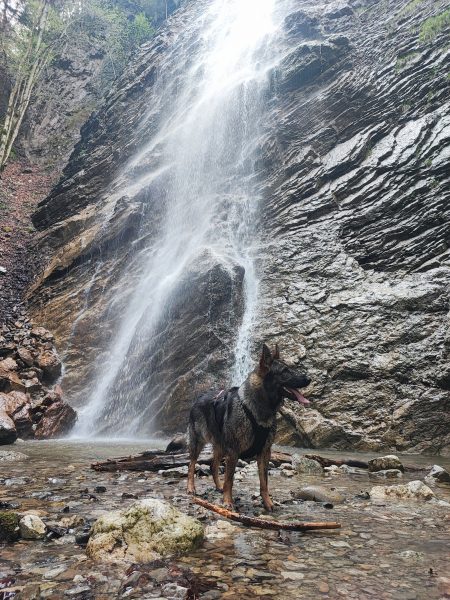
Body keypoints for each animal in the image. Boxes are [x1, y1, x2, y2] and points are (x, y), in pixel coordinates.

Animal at [187, 343, 311, 511]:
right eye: (285, 371)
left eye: (291, 368)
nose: (309, 378)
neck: (258, 408)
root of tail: (199, 398)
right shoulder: (233, 452)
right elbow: (230, 480)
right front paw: (228, 501)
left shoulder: (264, 452)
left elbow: (264, 482)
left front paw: (267, 502)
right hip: (199, 442)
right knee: (191, 464)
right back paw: (191, 487)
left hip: (221, 445)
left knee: (213, 465)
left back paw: (219, 487)